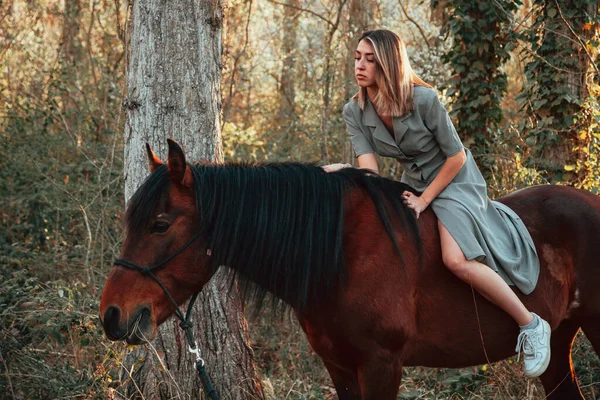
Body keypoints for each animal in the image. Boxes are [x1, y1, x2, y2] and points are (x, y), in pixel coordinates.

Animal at [101, 139, 596, 398]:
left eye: (160, 224)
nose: (111, 315)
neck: (340, 254)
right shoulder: (339, 367)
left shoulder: (381, 365)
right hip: (560, 343)